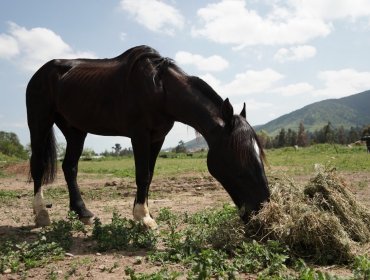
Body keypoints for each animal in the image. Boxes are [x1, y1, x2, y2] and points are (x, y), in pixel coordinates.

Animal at [26, 45, 268, 228]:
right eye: (239, 162)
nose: (262, 210)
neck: (160, 89)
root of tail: (40, 73)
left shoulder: (157, 138)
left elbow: (149, 175)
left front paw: (142, 212)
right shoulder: (140, 135)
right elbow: (142, 174)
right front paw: (144, 218)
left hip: (75, 130)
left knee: (70, 167)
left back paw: (82, 212)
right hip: (40, 123)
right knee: (38, 165)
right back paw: (42, 215)